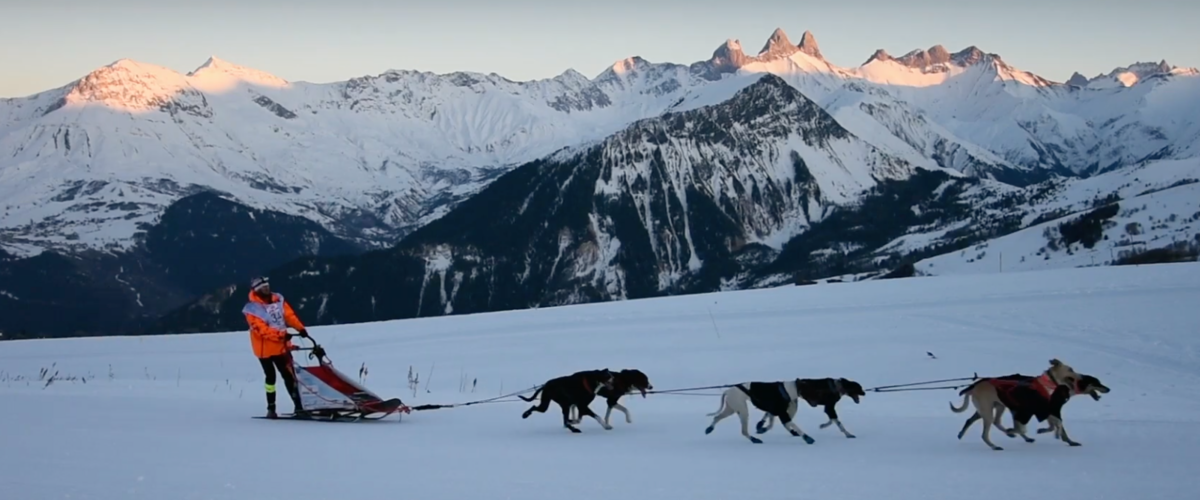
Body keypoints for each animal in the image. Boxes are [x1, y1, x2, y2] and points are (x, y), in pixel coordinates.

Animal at [950, 357, 1084, 450]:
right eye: (1071, 369)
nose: (1082, 377)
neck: (1045, 385)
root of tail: (974, 386)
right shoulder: (1025, 412)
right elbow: (1022, 428)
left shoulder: (1043, 410)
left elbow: (1056, 425)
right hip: (988, 411)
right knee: (986, 432)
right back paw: (995, 445)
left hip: (994, 407)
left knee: (982, 421)